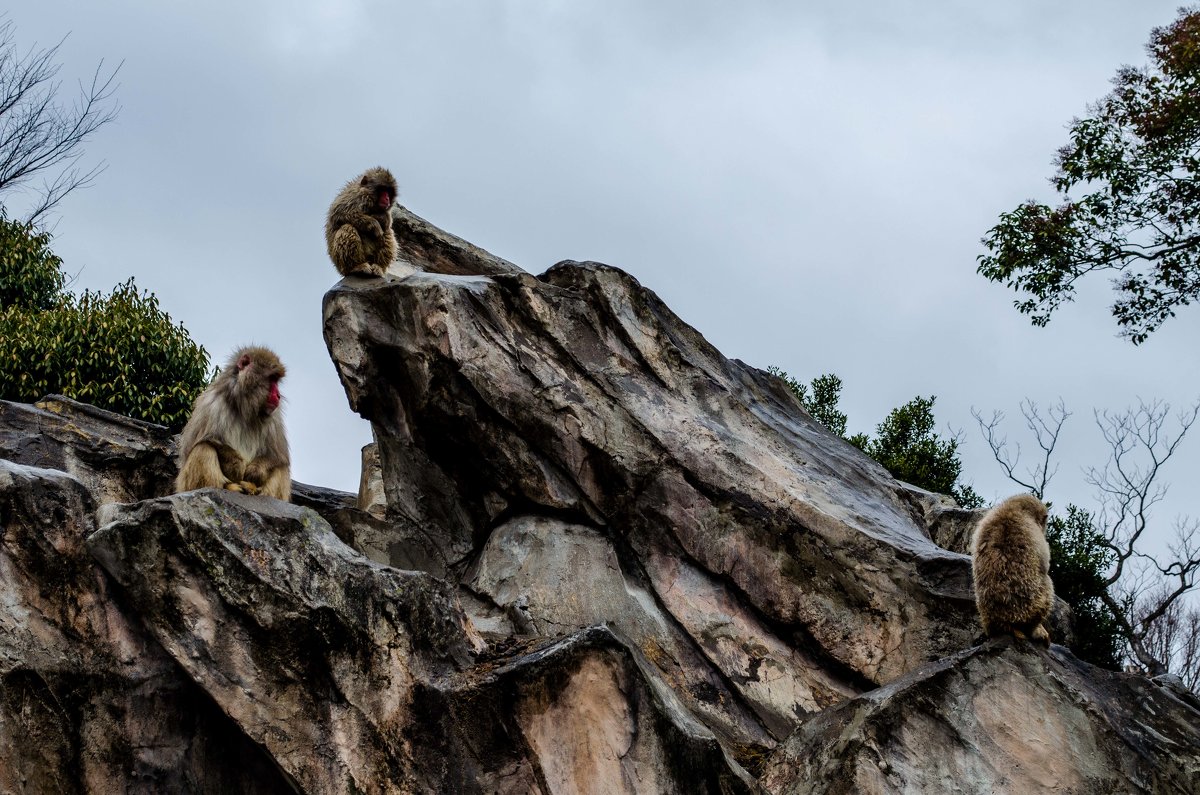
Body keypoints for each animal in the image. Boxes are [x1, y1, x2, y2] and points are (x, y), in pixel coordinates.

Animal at [969, 494, 1056, 653]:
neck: (1012, 508)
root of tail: (1004, 623)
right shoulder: (1036, 535)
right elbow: (1044, 564)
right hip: (1032, 607)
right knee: (1047, 583)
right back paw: (1037, 631)